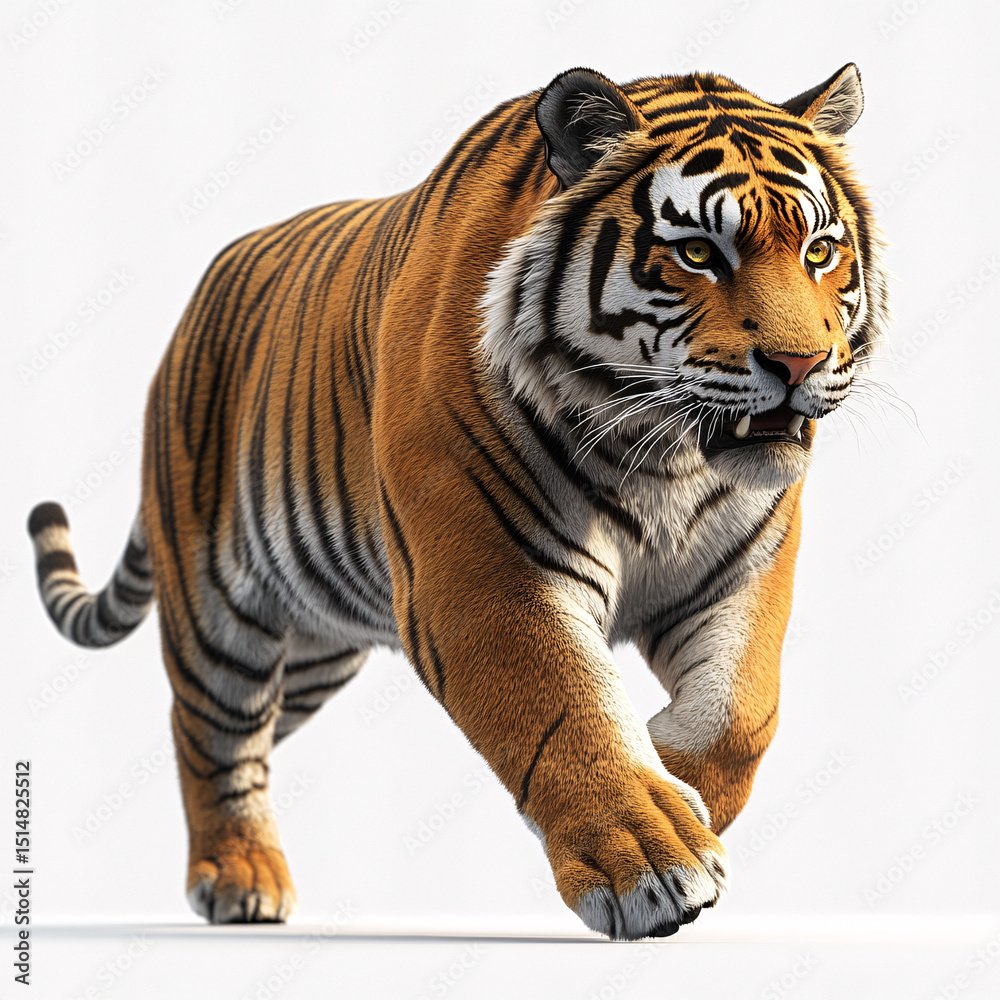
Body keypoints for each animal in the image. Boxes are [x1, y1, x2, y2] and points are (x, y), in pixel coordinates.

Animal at [28, 63, 889, 940]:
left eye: (821, 250)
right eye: (697, 253)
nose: (801, 361)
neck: (663, 458)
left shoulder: (745, 569)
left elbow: (740, 712)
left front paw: (677, 780)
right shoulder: (488, 578)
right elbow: (567, 712)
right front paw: (651, 854)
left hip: (316, 642)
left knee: (257, 729)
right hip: (216, 606)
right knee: (210, 733)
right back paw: (238, 877)